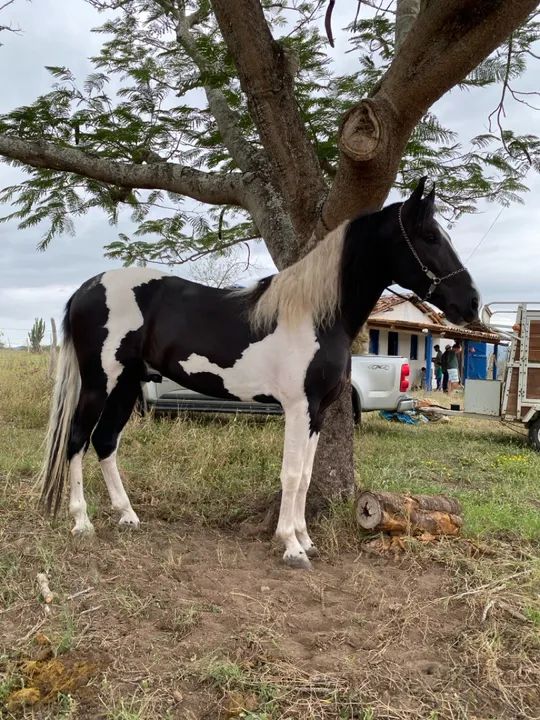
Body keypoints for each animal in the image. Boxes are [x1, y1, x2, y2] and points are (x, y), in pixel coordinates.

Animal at [39, 178, 480, 569]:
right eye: (429, 236)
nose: (471, 304)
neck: (315, 316)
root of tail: (87, 288)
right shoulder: (298, 407)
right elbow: (291, 474)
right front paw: (291, 547)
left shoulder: (317, 412)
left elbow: (306, 475)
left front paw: (306, 539)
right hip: (101, 383)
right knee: (77, 440)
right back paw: (82, 521)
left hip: (128, 384)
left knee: (105, 441)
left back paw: (127, 515)